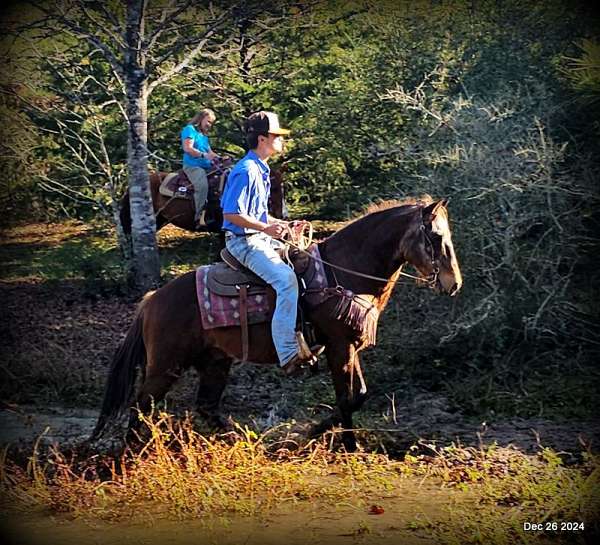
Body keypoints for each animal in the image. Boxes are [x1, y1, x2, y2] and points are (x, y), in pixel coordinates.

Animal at [91, 198, 462, 448]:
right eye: (435, 237)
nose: (454, 283)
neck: (341, 272)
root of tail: (153, 299)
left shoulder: (350, 347)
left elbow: (359, 395)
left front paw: (315, 433)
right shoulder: (338, 347)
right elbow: (346, 398)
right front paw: (345, 444)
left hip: (215, 362)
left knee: (206, 407)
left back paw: (244, 441)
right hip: (166, 366)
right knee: (141, 406)